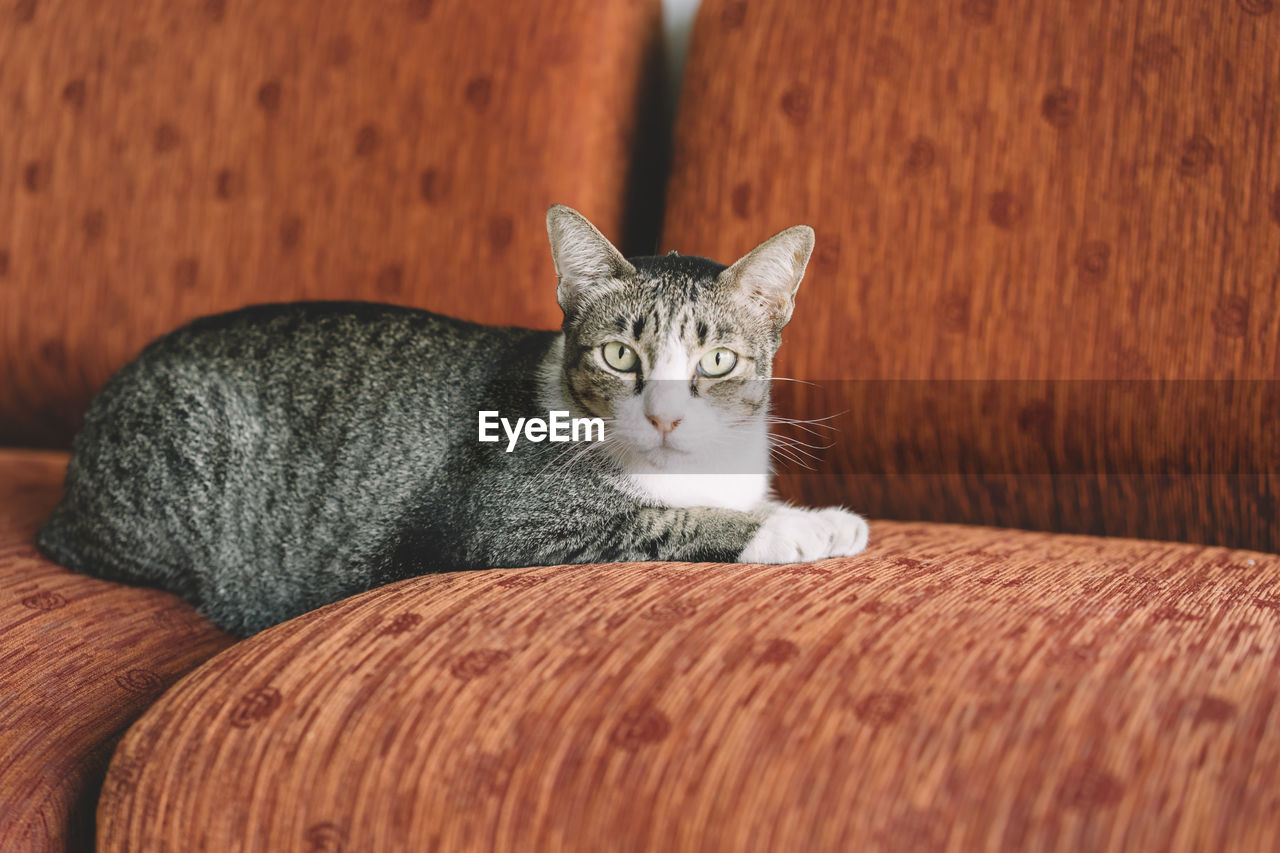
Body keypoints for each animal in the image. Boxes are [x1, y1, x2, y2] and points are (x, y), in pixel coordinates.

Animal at [40, 204, 875, 630]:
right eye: (618, 354)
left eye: (718, 361)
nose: (665, 417)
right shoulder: (508, 524)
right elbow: (670, 522)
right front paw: (808, 526)